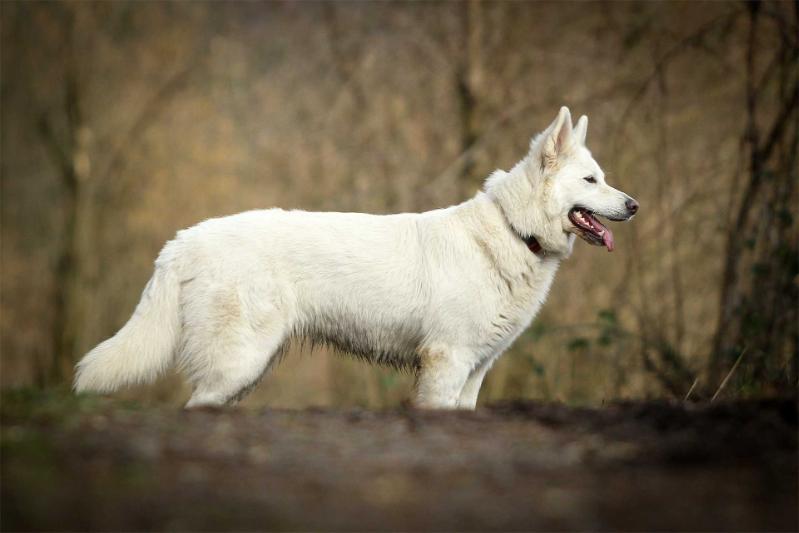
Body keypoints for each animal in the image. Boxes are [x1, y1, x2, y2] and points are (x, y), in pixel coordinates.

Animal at [75, 107, 636, 408]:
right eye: (591, 180)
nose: (634, 205)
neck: (514, 230)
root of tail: (183, 240)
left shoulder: (475, 370)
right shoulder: (446, 362)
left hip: (244, 366)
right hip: (239, 361)